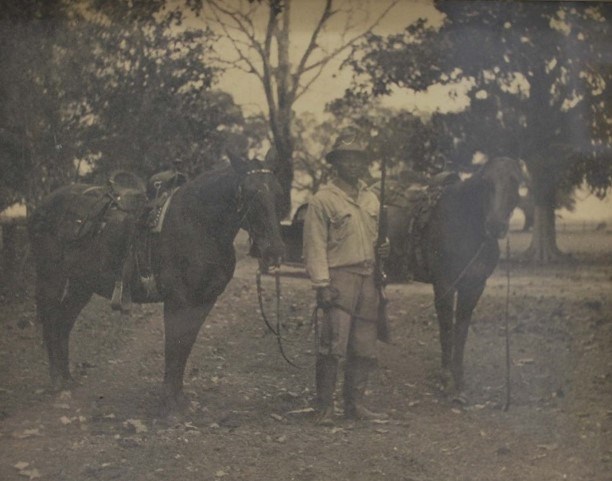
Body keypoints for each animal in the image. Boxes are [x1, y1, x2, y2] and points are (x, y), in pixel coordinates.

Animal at [27, 154, 286, 412]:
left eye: (278, 192)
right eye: (250, 193)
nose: (274, 251)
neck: (198, 224)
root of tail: (43, 207)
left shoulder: (203, 302)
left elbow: (185, 346)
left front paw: (179, 397)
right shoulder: (177, 302)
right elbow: (173, 346)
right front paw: (170, 402)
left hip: (81, 286)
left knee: (63, 325)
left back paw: (67, 380)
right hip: (51, 280)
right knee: (51, 323)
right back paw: (58, 382)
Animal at [388, 157, 520, 398]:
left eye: (515, 181)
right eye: (486, 182)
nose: (496, 225)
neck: (465, 225)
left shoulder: (473, 286)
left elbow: (461, 330)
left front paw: (459, 379)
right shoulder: (444, 286)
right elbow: (447, 329)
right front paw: (445, 379)